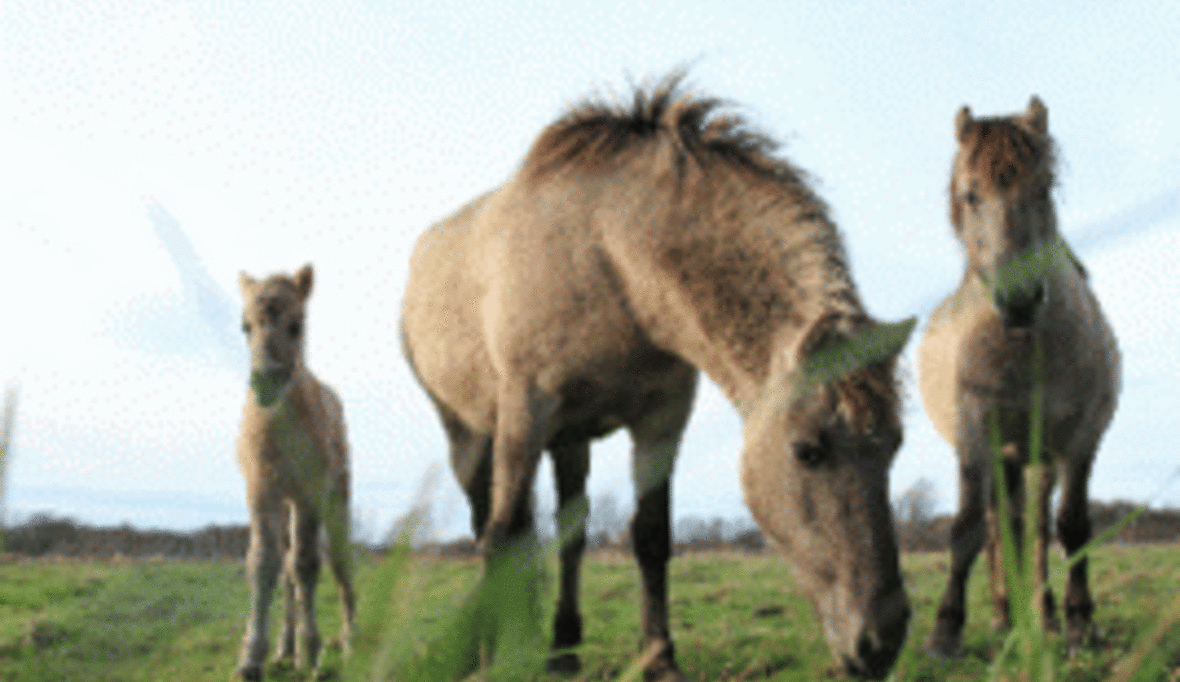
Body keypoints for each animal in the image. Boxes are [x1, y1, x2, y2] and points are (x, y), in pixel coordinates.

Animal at [234, 264, 353, 679]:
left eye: (297, 324)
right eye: (245, 326)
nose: (265, 381)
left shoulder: (310, 493)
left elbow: (306, 564)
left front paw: (313, 651)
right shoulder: (262, 490)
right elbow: (264, 562)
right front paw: (252, 659)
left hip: (337, 498)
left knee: (339, 558)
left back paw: (347, 639)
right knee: (285, 566)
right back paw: (285, 648)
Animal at [401, 71, 915, 674]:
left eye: (895, 446)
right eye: (807, 451)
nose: (882, 642)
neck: (610, 256)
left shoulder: (661, 419)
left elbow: (649, 535)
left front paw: (659, 658)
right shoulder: (525, 411)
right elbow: (499, 538)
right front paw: (489, 659)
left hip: (569, 440)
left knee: (566, 529)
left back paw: (560, 647)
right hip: (471, 434)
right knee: (491, 523)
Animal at [915, 97, 1118, 656]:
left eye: (1045, 187)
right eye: (970, 194)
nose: (1020, 300)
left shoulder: (1081, 438)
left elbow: (1071, 527)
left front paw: (1079, 622)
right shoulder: (974, 431)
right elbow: (965, 529)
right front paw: (945, 630)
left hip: (1033, 459)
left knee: (1033, 530)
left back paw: (1040, 618)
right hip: (999, 456)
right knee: (995, 529)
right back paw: (1004, 618)